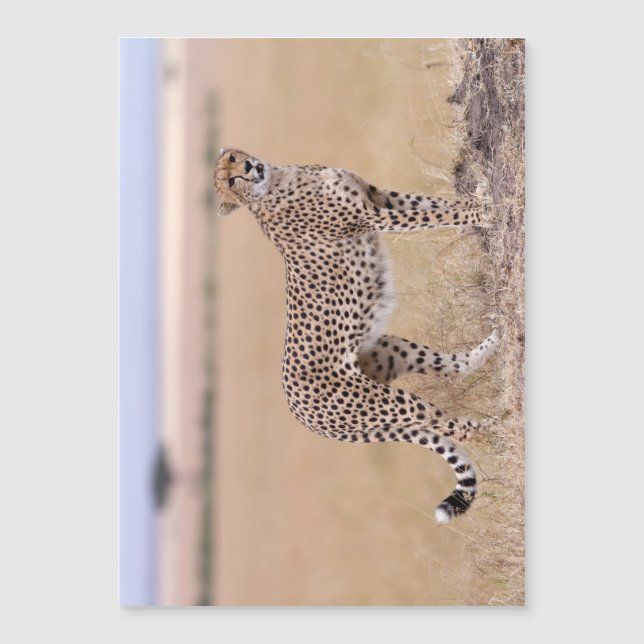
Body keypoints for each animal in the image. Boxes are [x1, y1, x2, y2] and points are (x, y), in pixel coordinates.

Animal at [214, 148, 498, 523]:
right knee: (448, 426)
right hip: (386, 403)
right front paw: (482, 212)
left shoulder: (377, 195)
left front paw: (477, 195)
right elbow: (435, 213)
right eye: (231, 181)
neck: (276, 180)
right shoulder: (372, 217)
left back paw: (496, 341)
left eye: (233, 159)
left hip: (389, 350)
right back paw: (500, 429)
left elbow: (430, 202)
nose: (248, 167)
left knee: (454, 368)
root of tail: (300, 415)